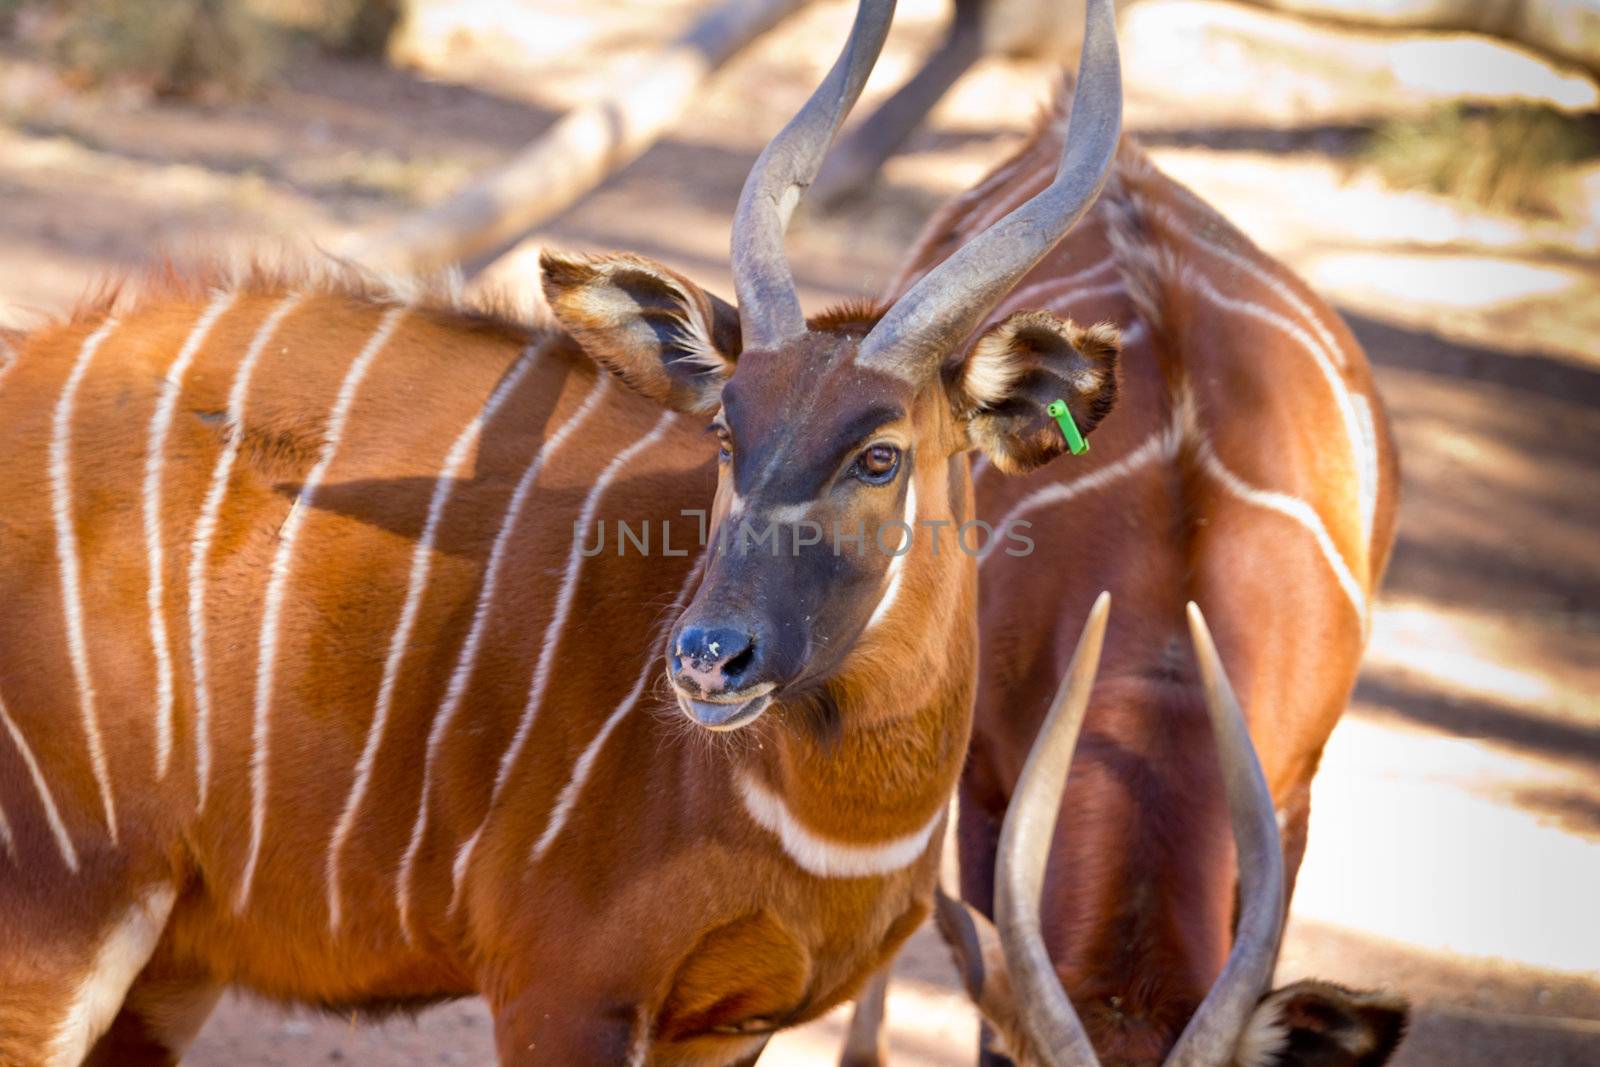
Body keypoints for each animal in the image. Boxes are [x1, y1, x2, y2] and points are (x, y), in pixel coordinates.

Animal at [0, 4, 1139, 1062]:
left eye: (880, 454)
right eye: (727, 430)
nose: (706, 659)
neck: (830, 816)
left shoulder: (727, 1022)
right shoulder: (562, 989)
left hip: (166, 962)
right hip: (60, 912)